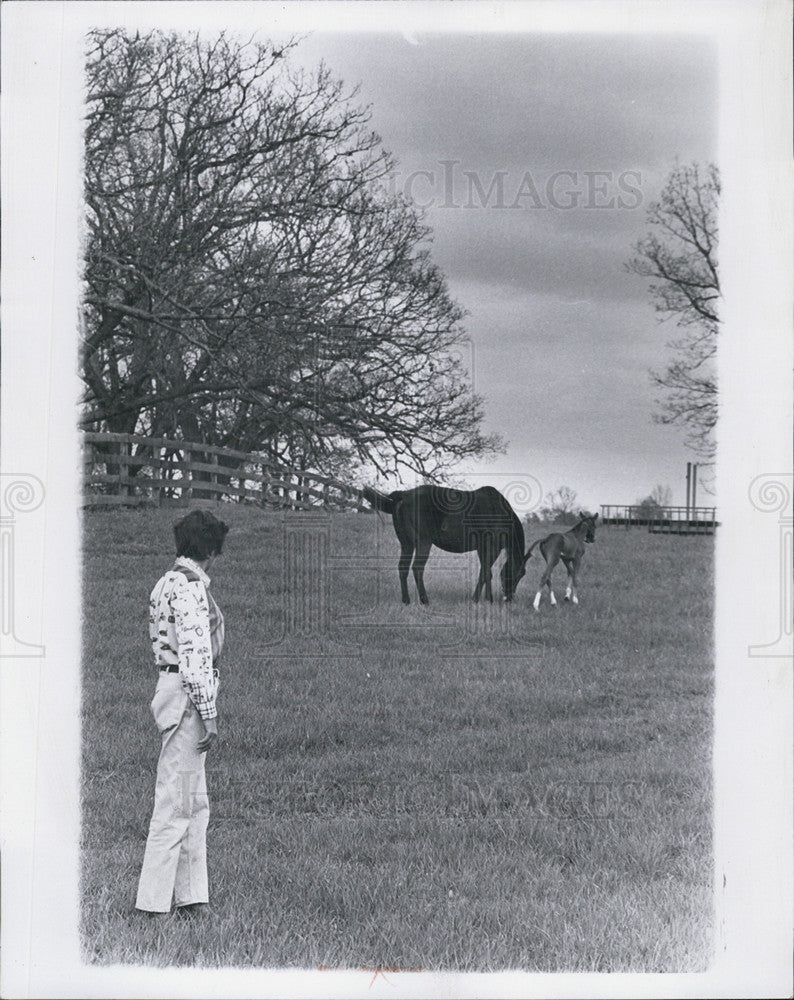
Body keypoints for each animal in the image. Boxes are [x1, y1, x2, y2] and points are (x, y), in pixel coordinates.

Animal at [360, 482, 524, 600]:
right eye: (520, 573)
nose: (509, 597)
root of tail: (402, 495)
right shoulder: (493, 545)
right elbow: (485, 572)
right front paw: (481, 599)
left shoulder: (482, 547)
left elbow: (486, 572)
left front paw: (484, 598)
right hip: (423, 540)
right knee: (417, 567)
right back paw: (425, 600)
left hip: (406, 541)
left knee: (402, 567)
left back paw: (406, 600)